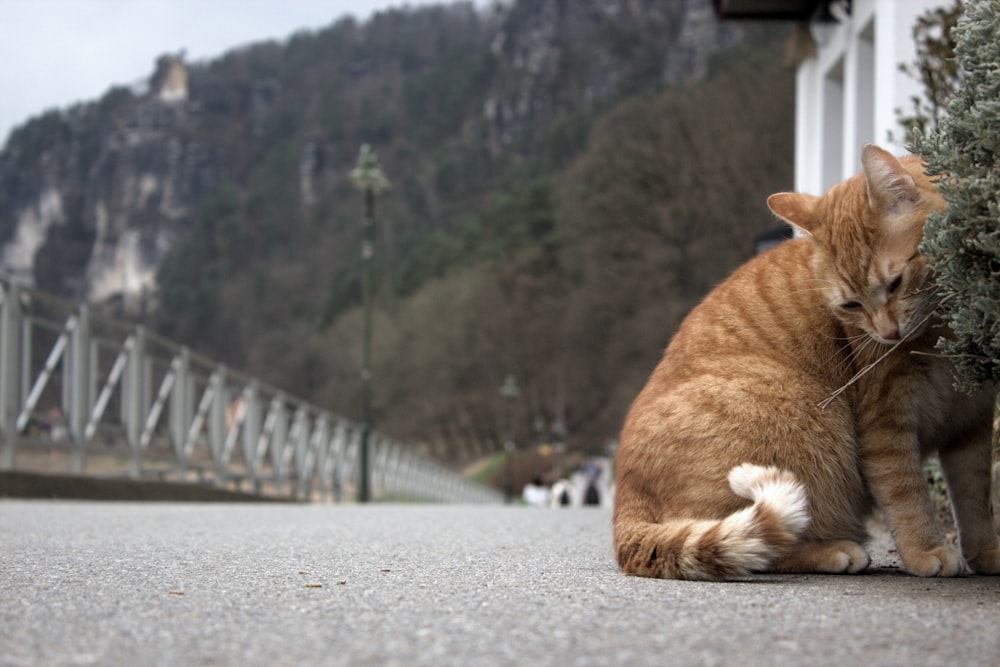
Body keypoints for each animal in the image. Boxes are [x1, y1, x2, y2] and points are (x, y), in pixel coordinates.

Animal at [612, 145, 996, 580]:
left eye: (896, 284)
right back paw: (835, 550)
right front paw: (925, 550)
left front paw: (988, 554)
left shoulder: (973, 423)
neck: (941, 333)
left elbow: (975, 498)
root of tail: (625, 504)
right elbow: (907, 493)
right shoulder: (886, 425)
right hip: (796, 412)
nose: (887, 334)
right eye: (851, 305)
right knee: (765, 544)